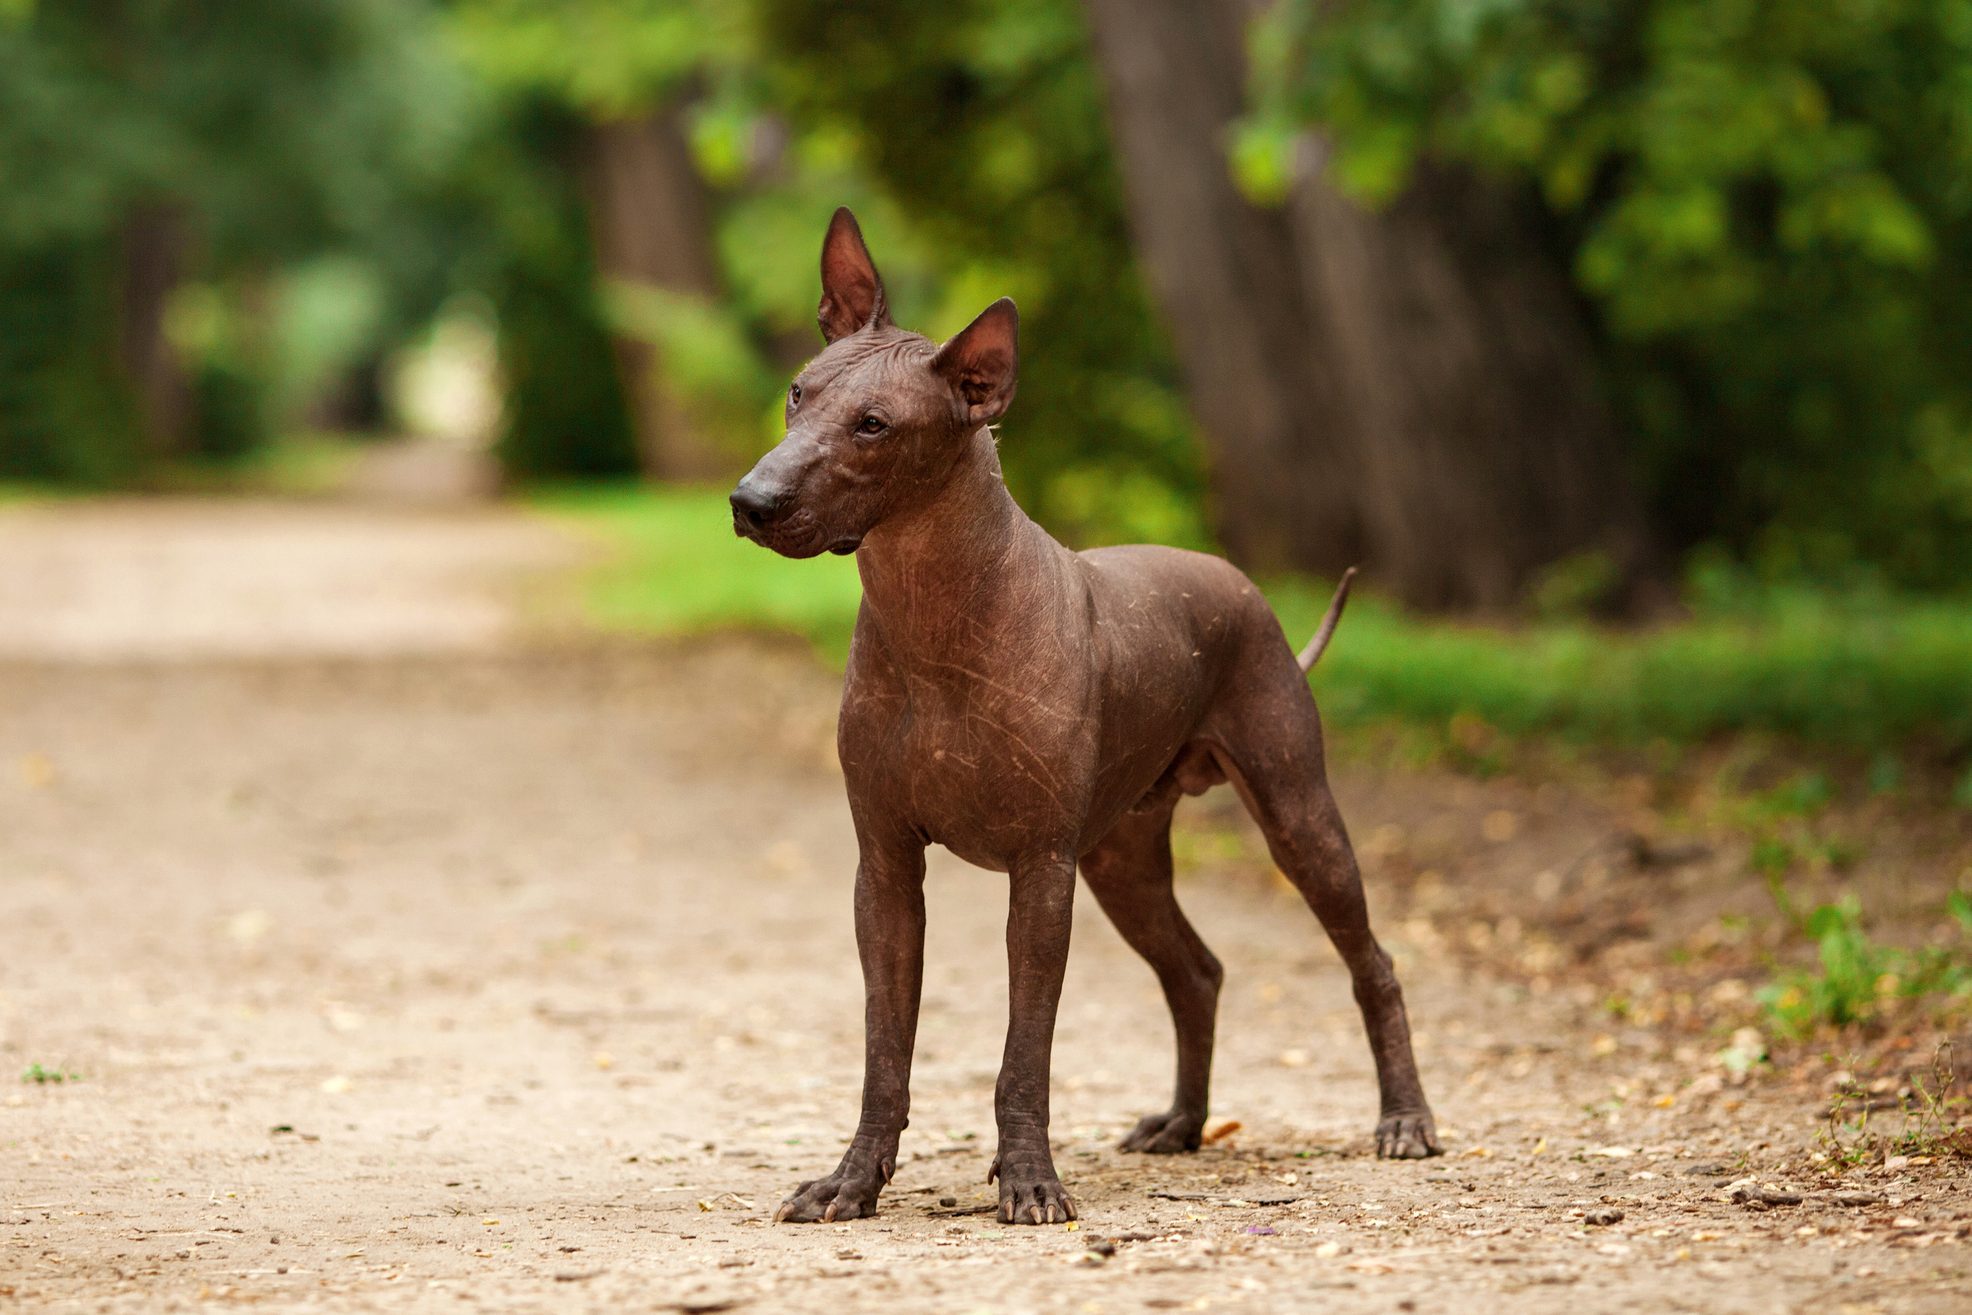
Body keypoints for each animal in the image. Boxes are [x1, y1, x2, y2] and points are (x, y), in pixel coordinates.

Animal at [733, 210, 1443, 1230]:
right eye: (800, 392)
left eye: (874, 424)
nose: (750, 502)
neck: (933, 614)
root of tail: (1245, 587)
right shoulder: (886, 870)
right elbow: (884, 1051)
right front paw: (853, 1179)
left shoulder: (1042, 871)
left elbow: (1024, 1053)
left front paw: (1029, 1178)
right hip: (1123, 857)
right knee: (1197, 971)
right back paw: (1183, 1122)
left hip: (1296, 813)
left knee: (1373, 960)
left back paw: (1405, 1119)